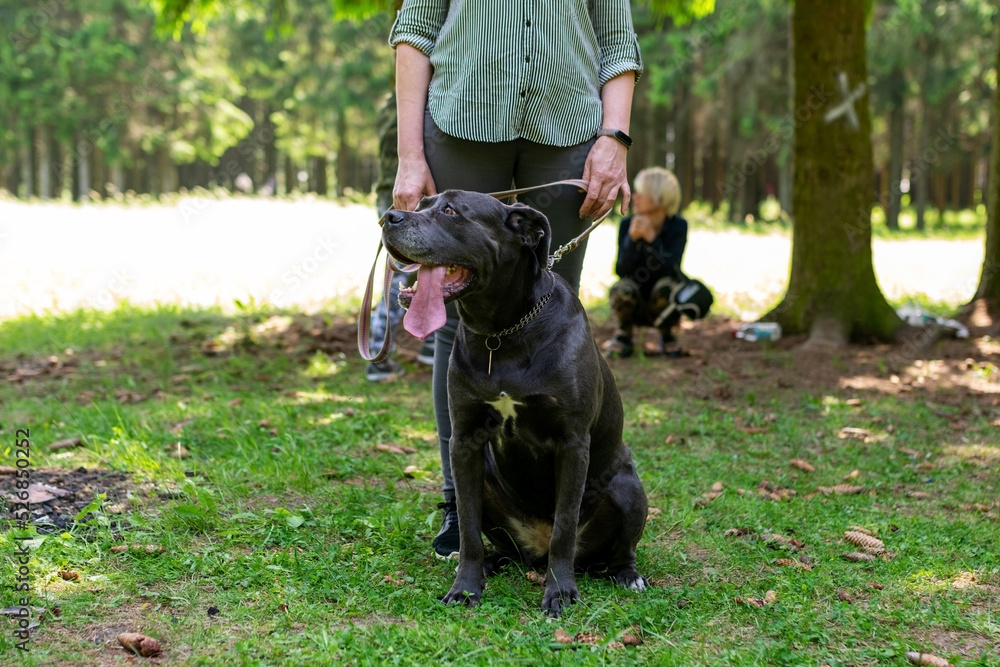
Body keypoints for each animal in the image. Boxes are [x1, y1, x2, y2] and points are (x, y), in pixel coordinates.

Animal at [382, 190, 648, 620]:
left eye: (451, 211)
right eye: (421, 203)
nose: (390, 216)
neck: (502, 332)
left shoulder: (573, 444)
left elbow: (564, 529)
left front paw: (560, 593)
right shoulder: (465, 441)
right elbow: (469, 529)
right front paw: (465, 587)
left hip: (627, 488)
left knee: (616, 550)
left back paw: (627, 575)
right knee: (503, 544)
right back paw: (495, 561)